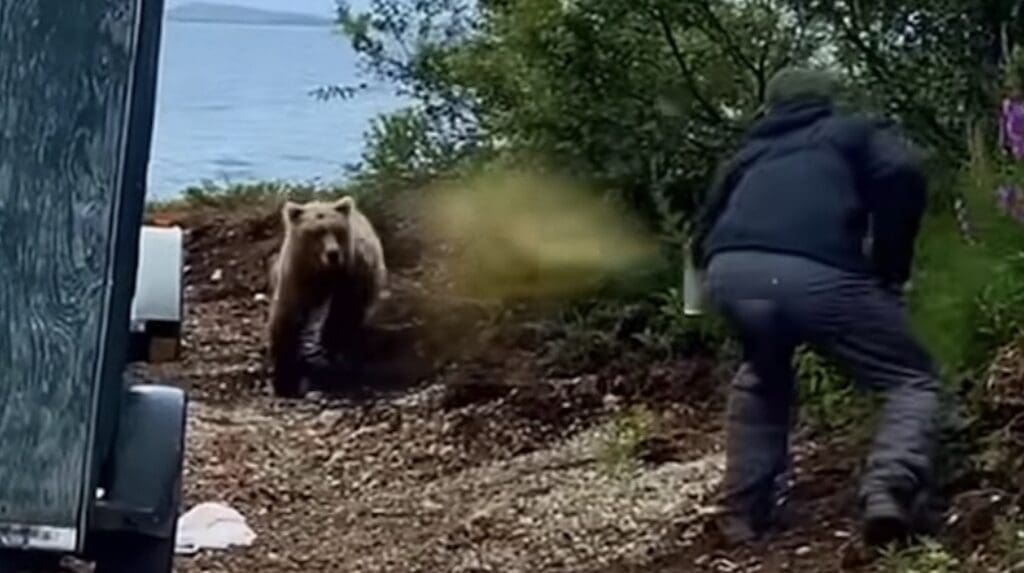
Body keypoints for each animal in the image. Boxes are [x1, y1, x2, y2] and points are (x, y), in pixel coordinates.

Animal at [266, 195, 388, 398]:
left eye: (337, 230)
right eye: (315, 233)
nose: (333, 253)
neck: (323, 272)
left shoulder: (349, 275)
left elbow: (343, 311)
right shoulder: (296, 277)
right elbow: (287, 319)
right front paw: (285, 380)